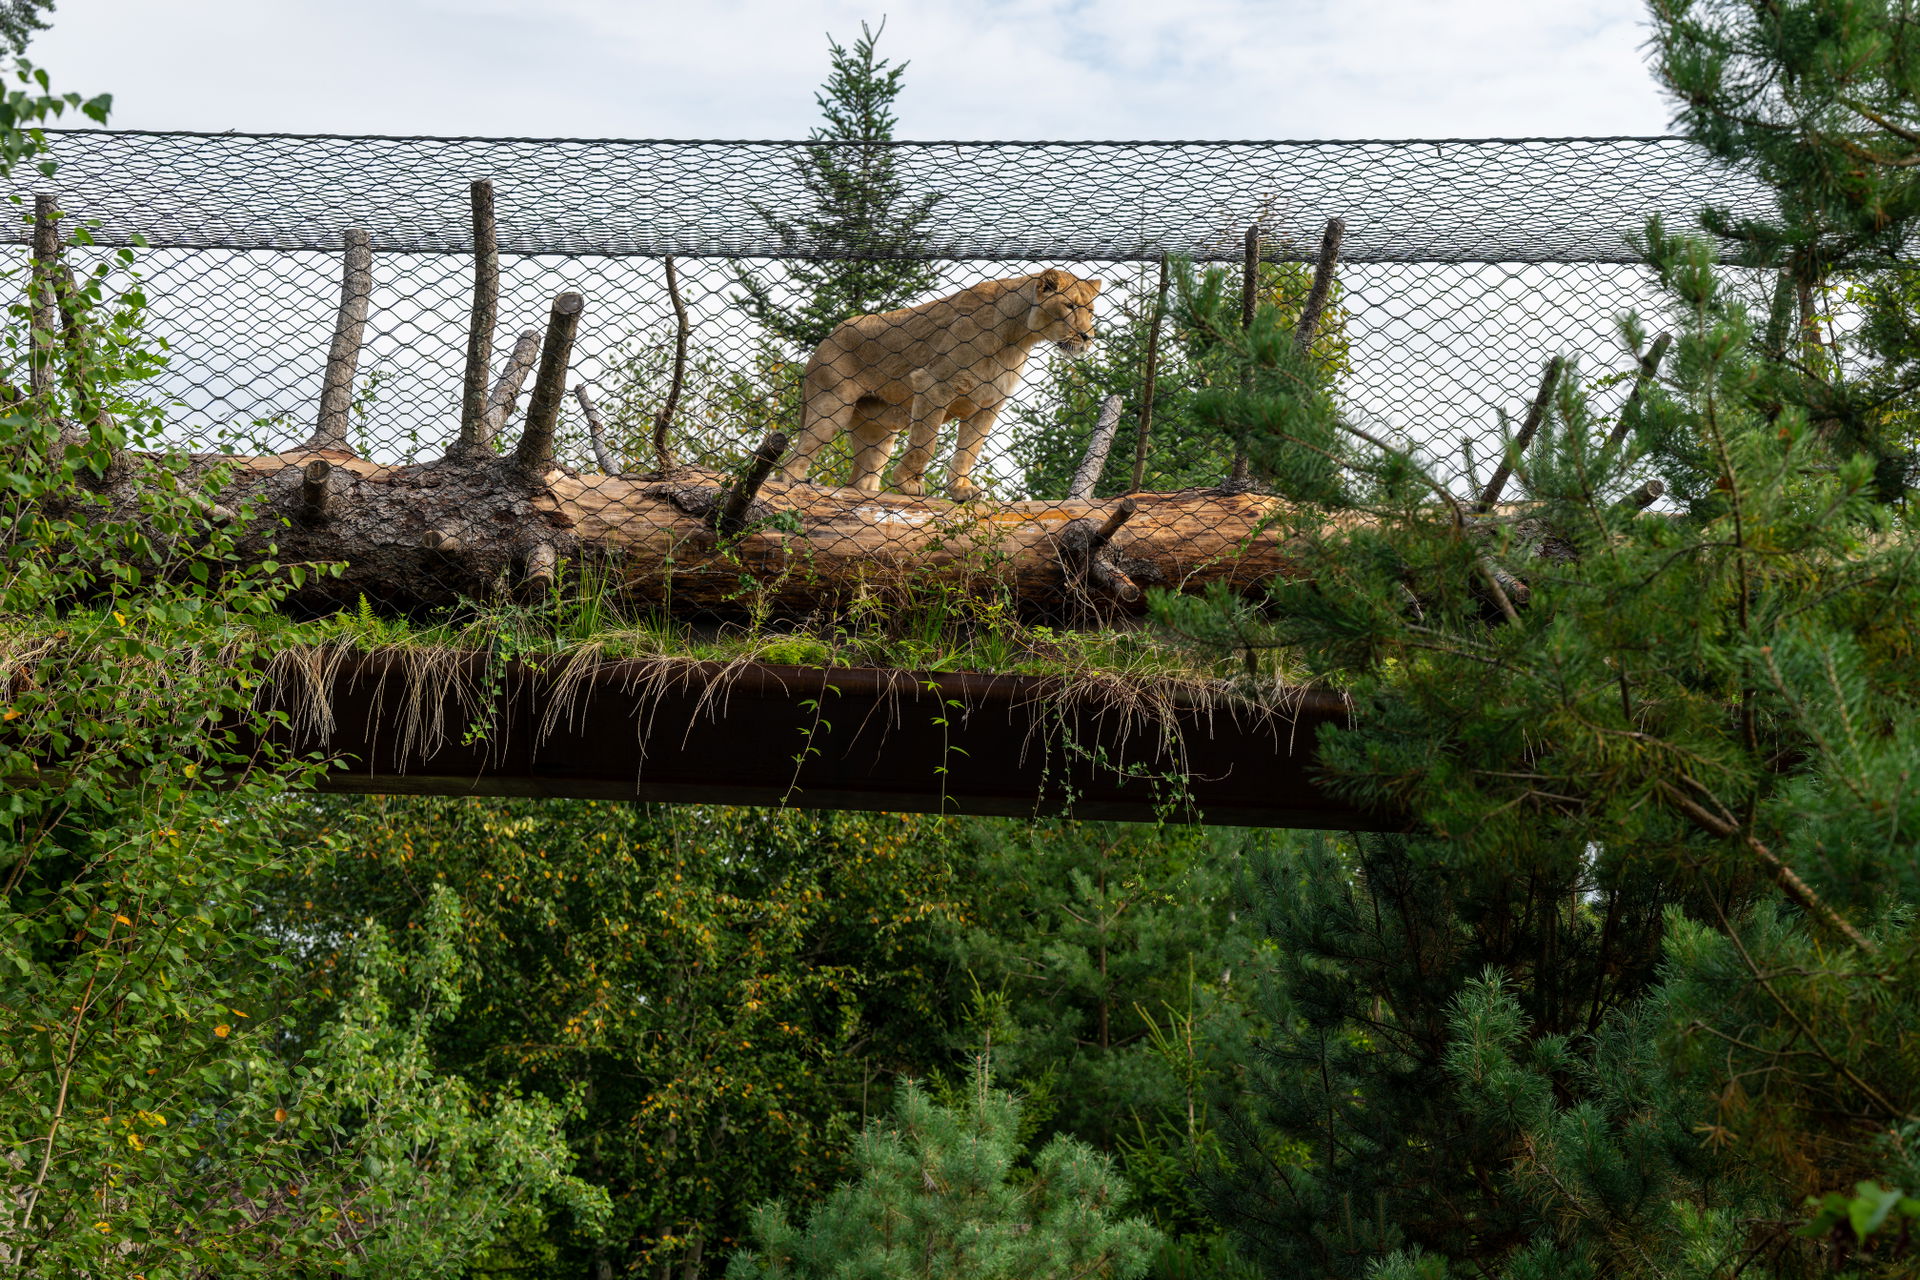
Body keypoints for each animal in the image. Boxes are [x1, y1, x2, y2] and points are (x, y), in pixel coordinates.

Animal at [782, 268, 1103, 499]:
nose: (1087, 337)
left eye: (1090, 312)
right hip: (831, 408)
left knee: (860, 480)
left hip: (879, 434)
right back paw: (795, 482)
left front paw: (961, 490)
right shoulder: (933, 385)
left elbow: (968, 451)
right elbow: (926, 443)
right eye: (1069, 306)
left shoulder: (988, 404)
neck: (1017, 338)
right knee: (791, 461)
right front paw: (908, 484)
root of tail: (825, 340)